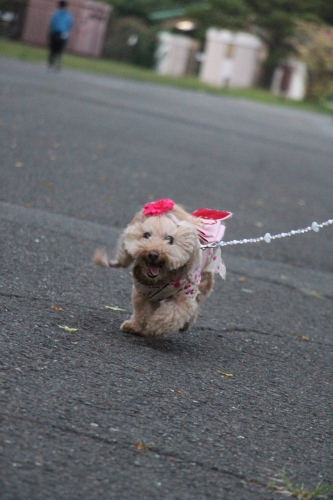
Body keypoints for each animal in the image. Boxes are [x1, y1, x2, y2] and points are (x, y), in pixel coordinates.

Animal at [92, 198, 230, 336]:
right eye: (146, 235)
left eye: (170, 239)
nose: (153, 254)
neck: (160, 280)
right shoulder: (143, 292)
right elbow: (142, 311)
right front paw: (135, 326)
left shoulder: (185, 295)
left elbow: (171, 314)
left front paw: (154, 327)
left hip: (204, 276)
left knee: (198, 299)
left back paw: (186, 323)